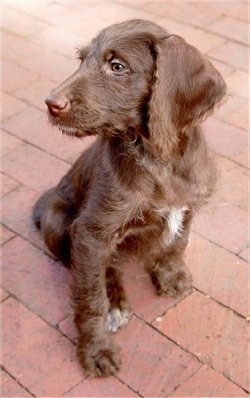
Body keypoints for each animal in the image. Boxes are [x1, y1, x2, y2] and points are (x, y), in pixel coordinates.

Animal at [32, 20, 226, 378]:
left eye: (117, 66)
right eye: (81, 59)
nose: (52, 103)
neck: (157, 159)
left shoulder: (189, 203)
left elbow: (178, 241)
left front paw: (171, 273)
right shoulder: (91, 233)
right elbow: (89, 297)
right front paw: (96, 349)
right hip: (58, 221)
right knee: (96, 269)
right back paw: (115, 301)